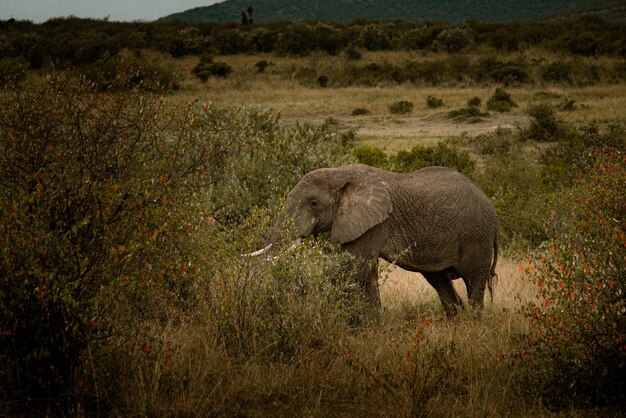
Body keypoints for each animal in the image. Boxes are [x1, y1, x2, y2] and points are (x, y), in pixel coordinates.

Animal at [251, 163, 494, 316]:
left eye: (313, 203)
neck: (340, 173)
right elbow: (366, 272)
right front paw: (374, 321)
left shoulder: (375, 223)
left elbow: (356, 268)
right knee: (439, 280)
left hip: (477, 236)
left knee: (474, 281)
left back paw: (473, 322)